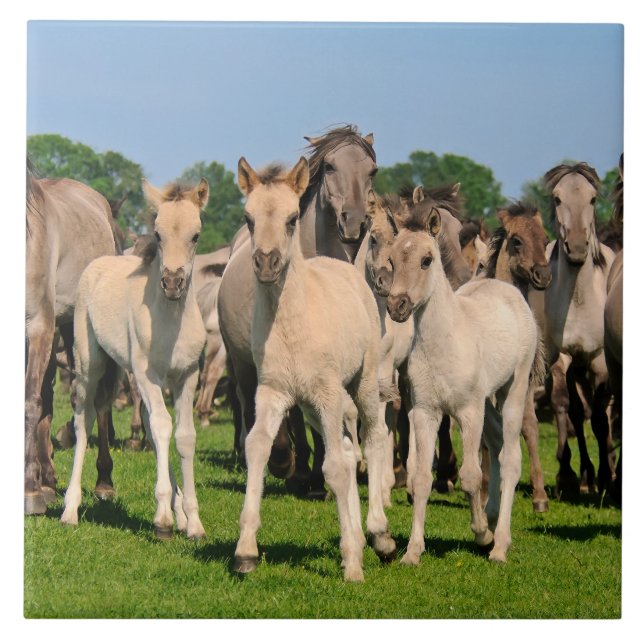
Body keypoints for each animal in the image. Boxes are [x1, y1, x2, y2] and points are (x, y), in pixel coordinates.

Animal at [25, 160, 117, 515]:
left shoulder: (37, 326)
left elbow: (29, 402)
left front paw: (29, 491)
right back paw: (48, 480)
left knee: (99, 401)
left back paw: (104, 482)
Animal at [61, 179, 209, 541]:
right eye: (158, 233)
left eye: (196, 235)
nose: (173, 283)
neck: (170, 321)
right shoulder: (147, 374)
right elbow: (162, 426)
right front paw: (163, 520)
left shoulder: (187, 376)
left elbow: (183, 436)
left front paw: (192, 522)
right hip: (91, 365)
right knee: (84, 420)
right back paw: (70, 509)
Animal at [218, 125, 378, 497]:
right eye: (330, 166)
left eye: (372, 171)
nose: (354, 222)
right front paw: (289, 464)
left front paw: (318, 476)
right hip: (241, 361)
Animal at [233, 157, 395, 582]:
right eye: (248, 218)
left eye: (292, 219)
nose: (267, 263)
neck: (293, 323)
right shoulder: (272, 392)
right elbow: (257, 446)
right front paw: (245, 551)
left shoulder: (327, 391)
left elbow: (335, 467)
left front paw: (352, 562)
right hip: (312, 405)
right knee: (347, 448)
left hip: (361, 383)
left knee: (373, 439)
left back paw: (379, 534)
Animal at [386, 200, 542, 564]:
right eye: (391, 260)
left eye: (426, 260)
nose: (397, 306)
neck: (443, 341)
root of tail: (507, 289)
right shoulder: (425, 412)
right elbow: (421, 478)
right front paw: (412, 552)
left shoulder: (468, 412)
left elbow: (471, 477)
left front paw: (482, 535)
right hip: (488, 403)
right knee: (498, 446)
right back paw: (493, 516)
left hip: (511, 392)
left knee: (510, 458)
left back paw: (500, 543)